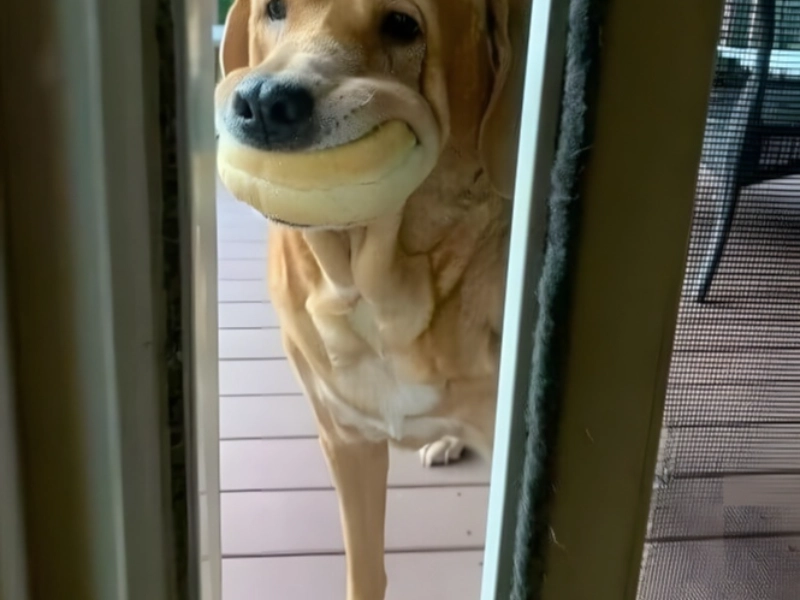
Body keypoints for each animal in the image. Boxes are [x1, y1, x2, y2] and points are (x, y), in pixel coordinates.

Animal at [215, 0, 526, 597]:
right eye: (273, 10)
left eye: (403, 24)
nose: (263, 101)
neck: (378, 294)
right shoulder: (345, 440)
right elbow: (365, 566)